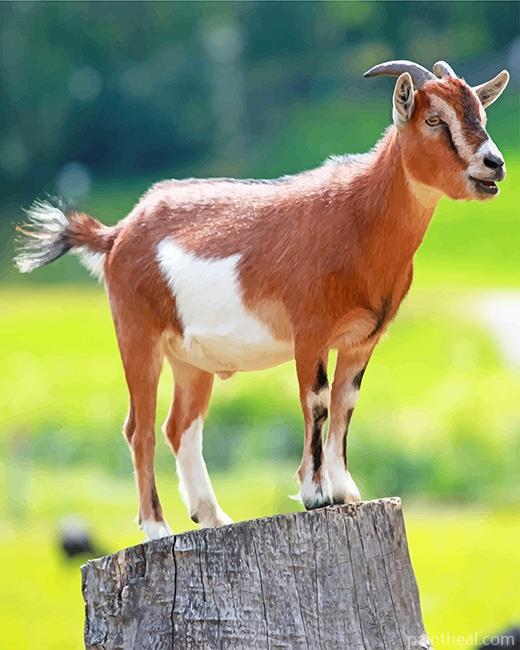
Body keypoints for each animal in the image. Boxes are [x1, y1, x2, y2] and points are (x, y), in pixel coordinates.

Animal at [15, 59, 509, 539]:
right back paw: (156, 527)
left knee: (180, 426)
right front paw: (316, 494)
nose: (495, 164)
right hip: (138, 333)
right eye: (433, 119)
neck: (357, 218)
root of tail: (116, 234)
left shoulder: (362, 339)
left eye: (481, 115)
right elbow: (318, 401)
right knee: (140, 429)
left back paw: (213, 516)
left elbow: (346, 403)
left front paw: (347, 491)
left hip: (190, 359)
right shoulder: (310, 331)